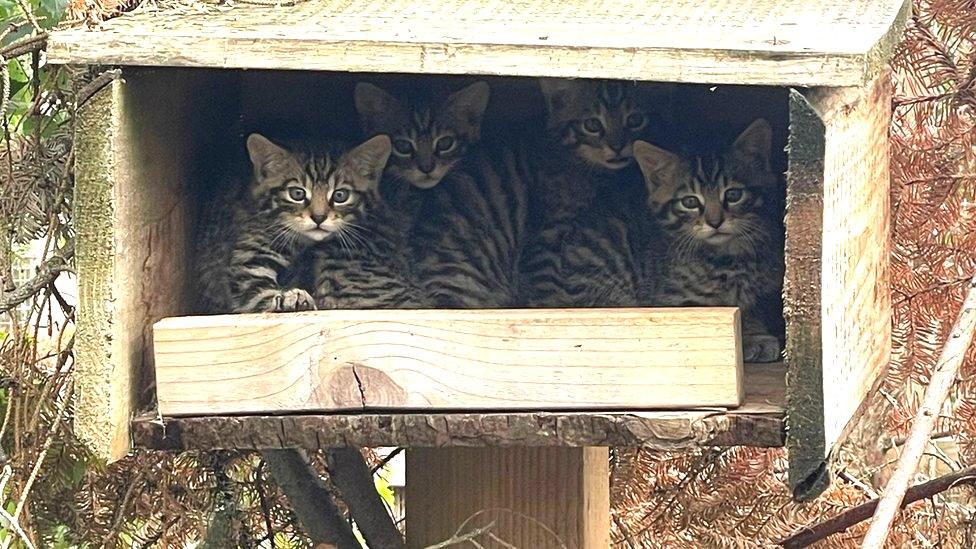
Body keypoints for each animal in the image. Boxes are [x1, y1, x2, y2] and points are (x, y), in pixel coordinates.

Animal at [194, 133, 392, 312]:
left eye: (340, 195)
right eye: (297, 193)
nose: (318, 217)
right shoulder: (249, 256)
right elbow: (255, 292)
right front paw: (286, 298)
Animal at [632, 117, 784, 362]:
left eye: (733, 195)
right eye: (690, 202)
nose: (715, 222)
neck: (726, 258)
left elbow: (752, 307)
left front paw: (755, 334)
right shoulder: (673, 299)